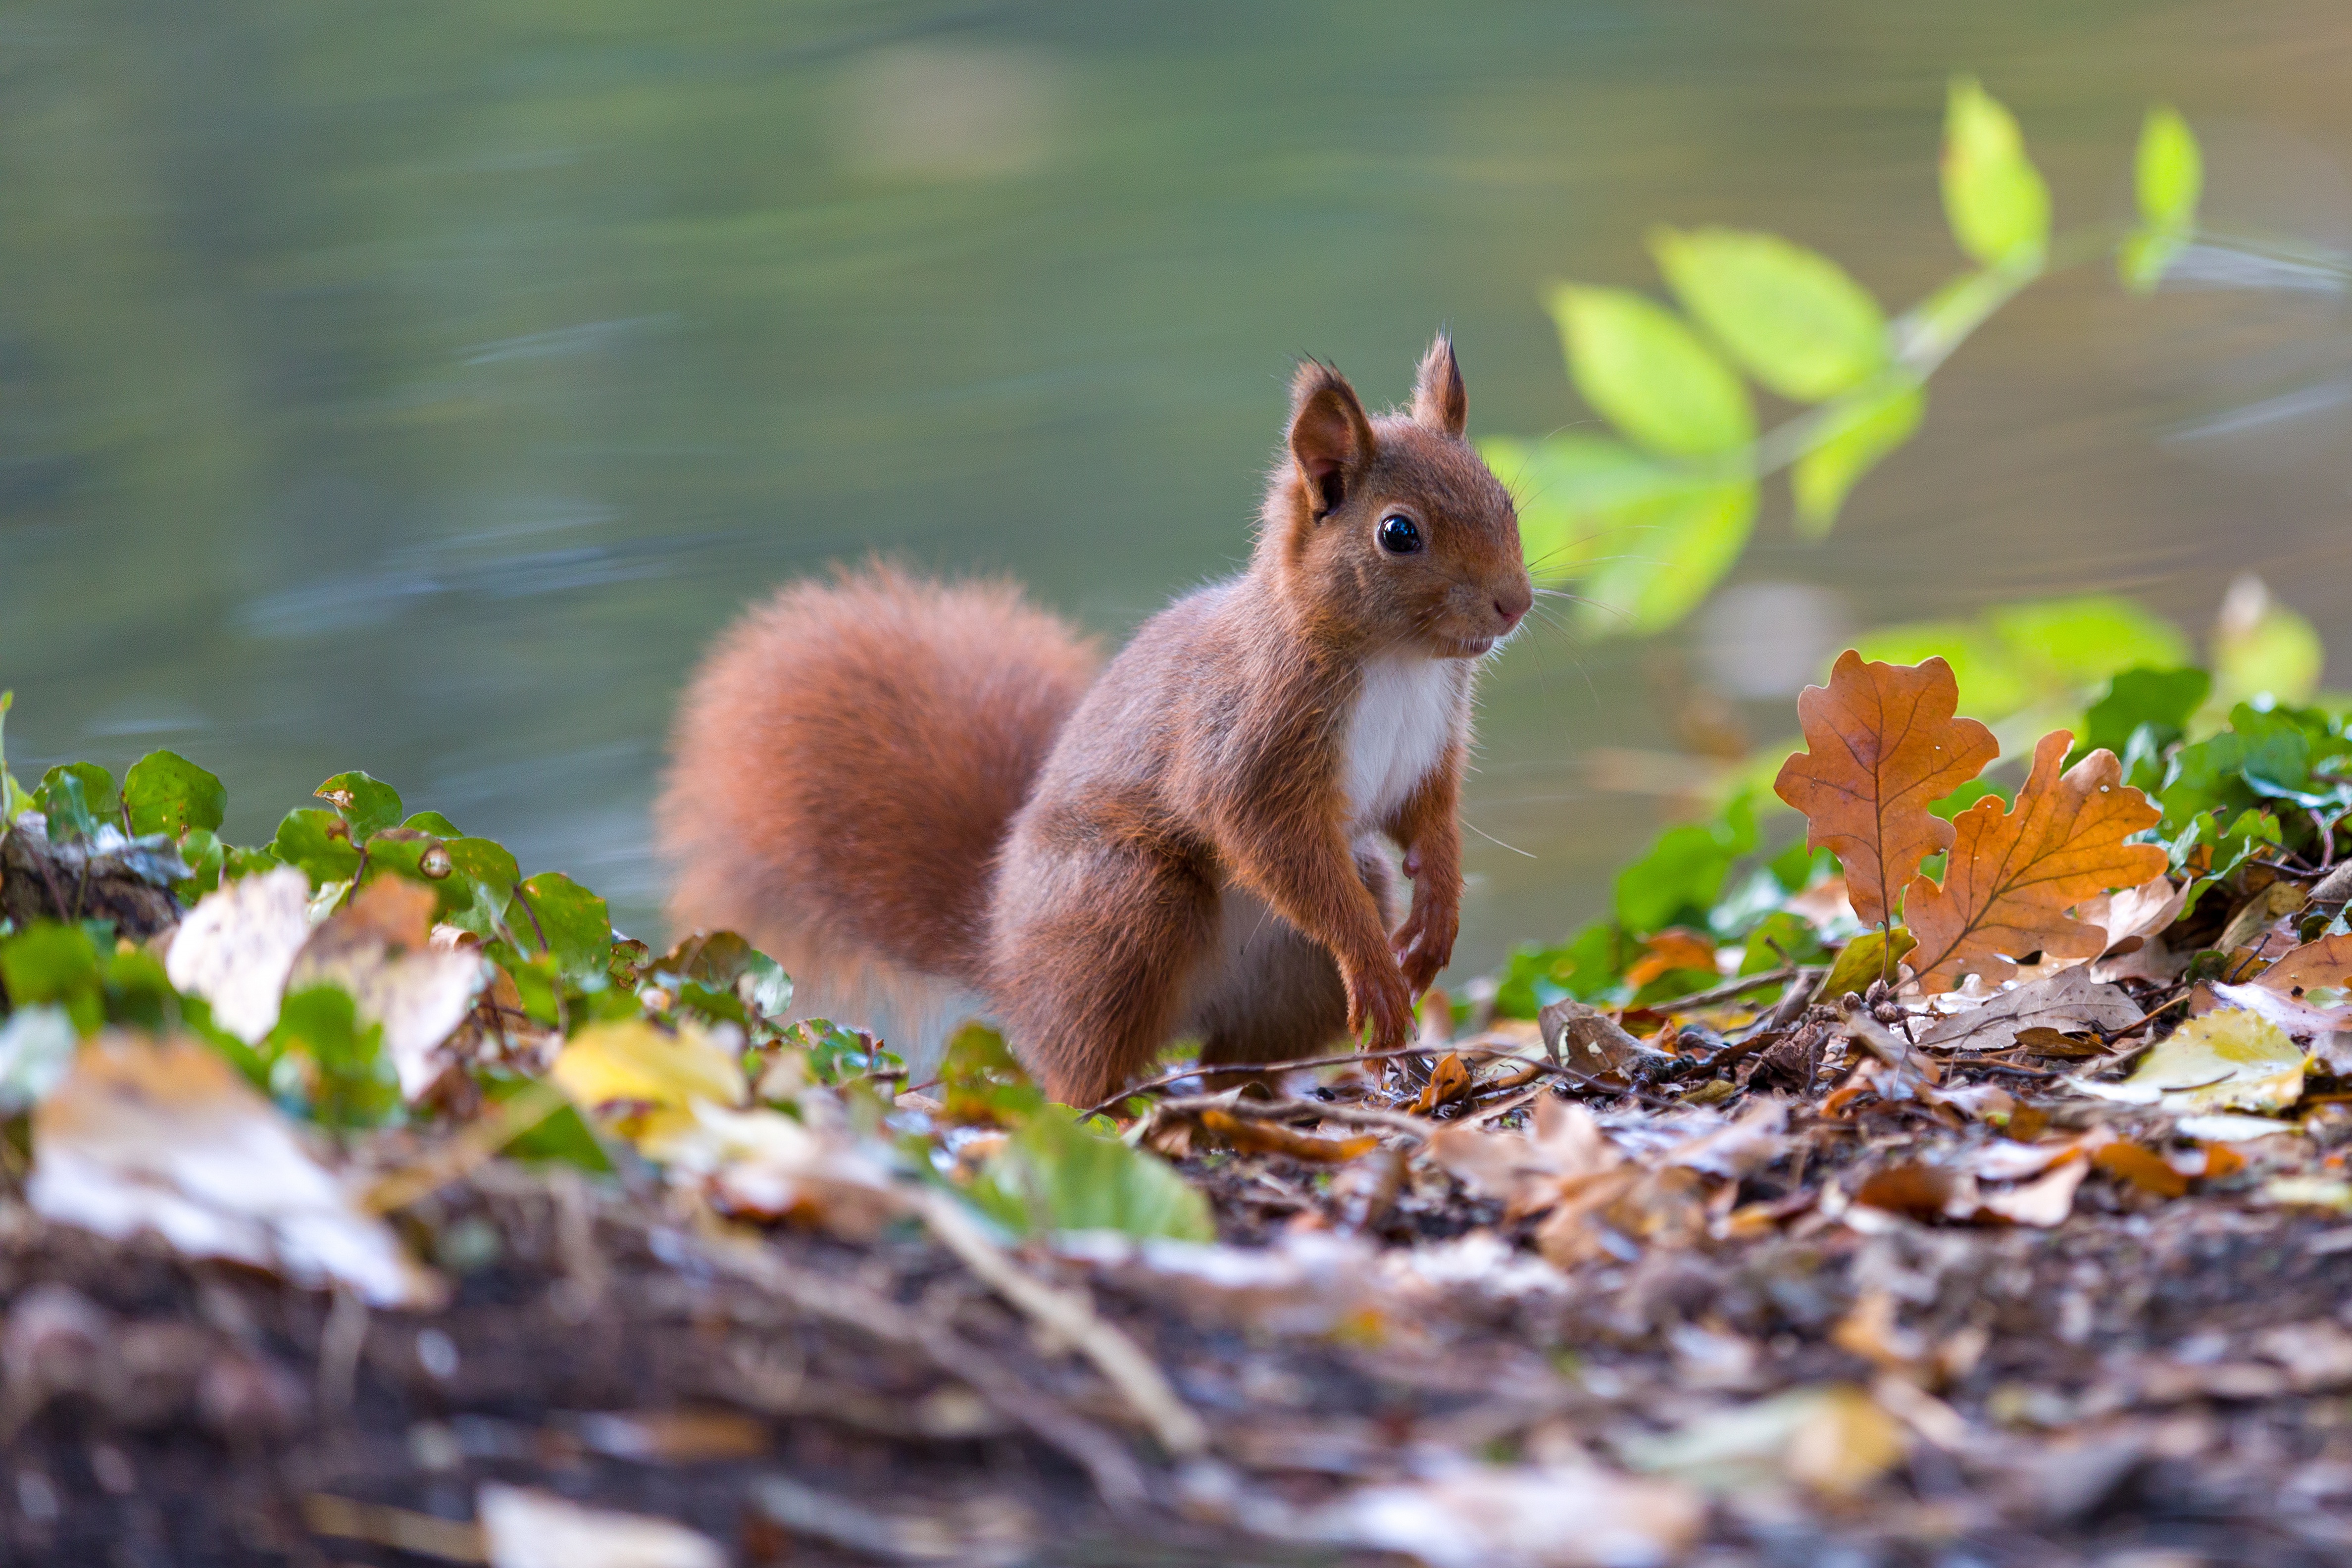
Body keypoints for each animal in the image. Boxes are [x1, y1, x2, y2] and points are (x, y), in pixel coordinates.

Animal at [668, 338, 1543, 1110]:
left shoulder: (1428, 749)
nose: (1514, 603)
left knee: (1230, 1058)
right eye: (1398, 533)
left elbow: (1429, 821)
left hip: (1289, 974)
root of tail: (1000, 953)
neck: (1398, 664)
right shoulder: (1247, 741)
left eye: (1503, 498)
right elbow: (1267, 838)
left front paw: (1435, 919)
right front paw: (1375, 967)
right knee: (1079, 1070)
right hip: (1124, 905)